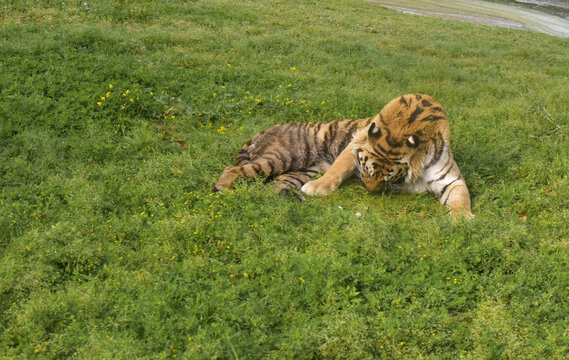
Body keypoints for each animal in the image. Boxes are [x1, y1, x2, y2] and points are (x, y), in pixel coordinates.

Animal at [213, 93, 470, 219]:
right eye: (367, 169)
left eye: (390, 176)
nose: (370, 191)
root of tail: (263, 130)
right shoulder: (354, 145)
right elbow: (336, 171)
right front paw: (317, 188)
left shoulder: (452, 179)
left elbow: (461, 200)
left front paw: (463, 222)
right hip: (285, 156)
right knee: (234, 169)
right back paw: (222, 187)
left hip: (299, 171)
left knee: (272, 187)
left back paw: (293, 198)